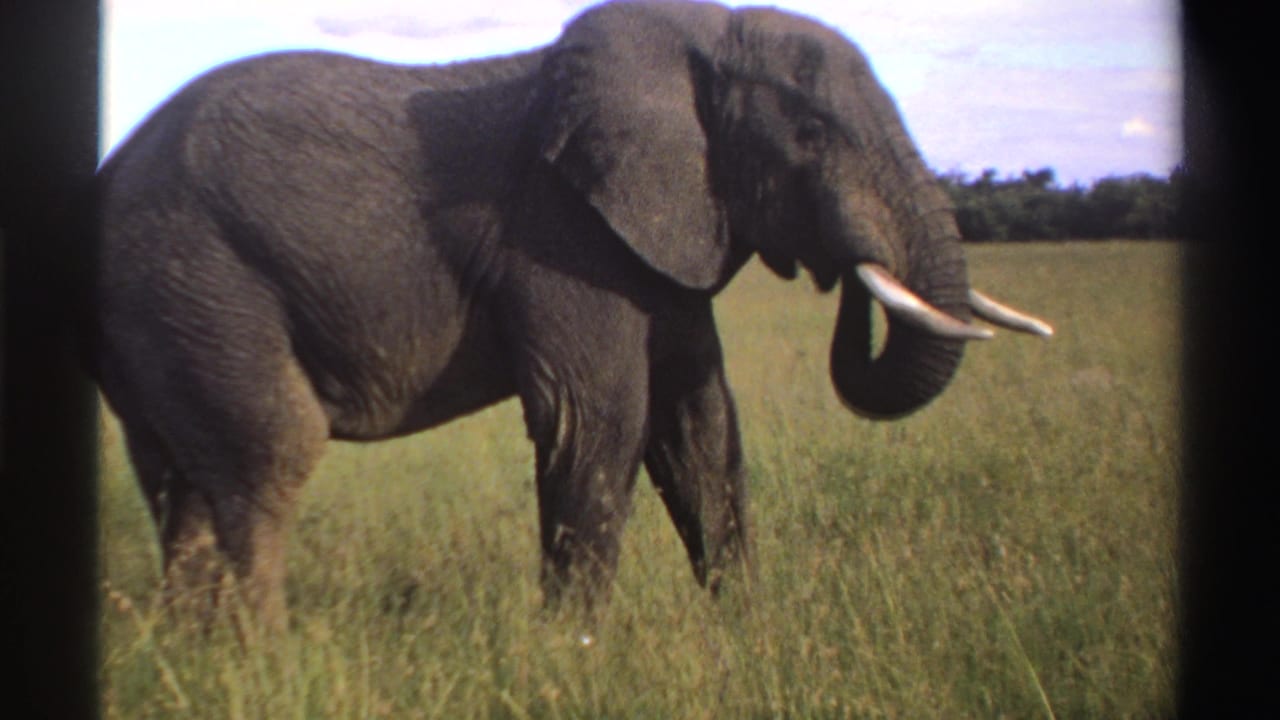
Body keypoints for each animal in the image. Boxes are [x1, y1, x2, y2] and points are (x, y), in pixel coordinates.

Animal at [90, 0, 1051, 631]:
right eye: (810, 135)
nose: (846, 273)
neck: (696, 34)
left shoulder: (658, 238)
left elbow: (701, 425)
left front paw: (746, 629)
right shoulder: (561, 231)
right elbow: (598, 418)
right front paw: (575, 653)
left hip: (159, 310)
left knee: (180, 482)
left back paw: (194, 656)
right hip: (197, 274)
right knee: (267, 457)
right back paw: (265, 658)